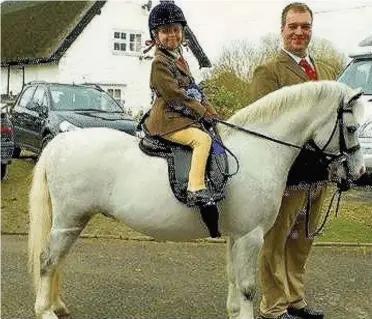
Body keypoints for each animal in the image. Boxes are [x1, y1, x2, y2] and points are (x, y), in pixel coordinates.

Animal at [27, 80, 364, 319]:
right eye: (351, 128)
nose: (359, 172)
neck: (257, 151)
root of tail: (61, 140)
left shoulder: (237, 236)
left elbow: (233, 279)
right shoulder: (251, 236)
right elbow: (248, 287)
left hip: (74, 222)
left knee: (57, 260)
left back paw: (57, 305)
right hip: (68, 221)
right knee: (47, 260)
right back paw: (45, 311)